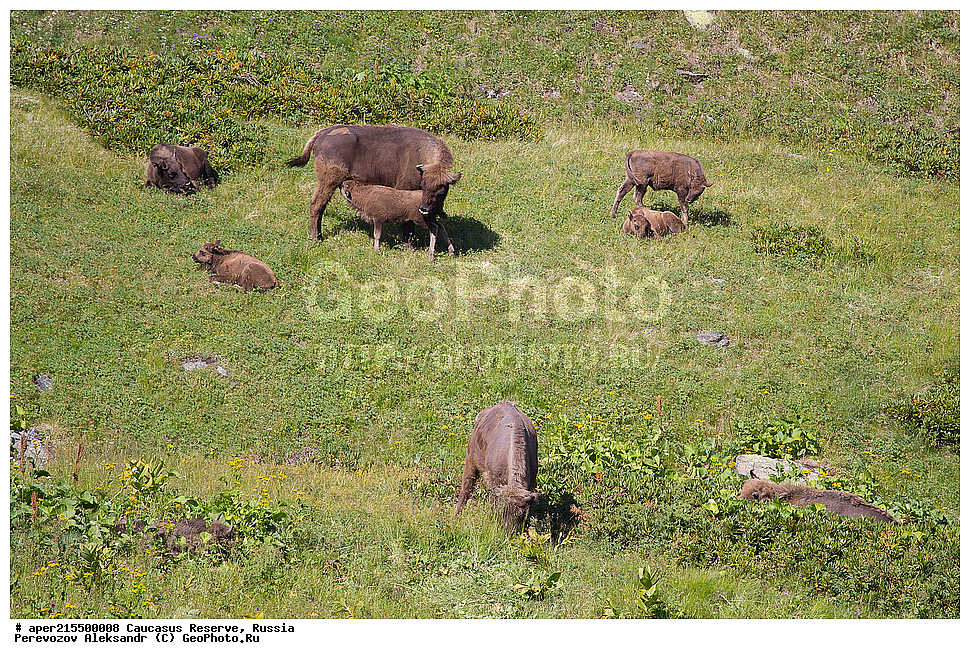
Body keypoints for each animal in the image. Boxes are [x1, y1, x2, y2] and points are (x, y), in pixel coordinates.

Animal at [286, 124, 461, 241]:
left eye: (442, 191)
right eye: (423, 185)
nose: (425, 209)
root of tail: (322, 134)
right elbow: (408, 221)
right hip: (328, 181)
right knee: (317, 204)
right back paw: (316, 237)